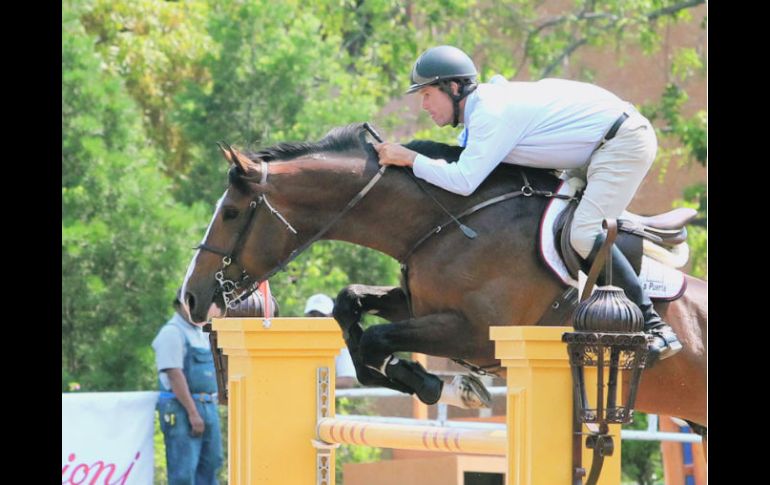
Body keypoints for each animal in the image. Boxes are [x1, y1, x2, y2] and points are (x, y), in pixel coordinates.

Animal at [178, 121, 704, 428]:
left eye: (230, 213)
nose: (190, 299)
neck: (450, 219)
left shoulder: (477, 334)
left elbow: (377, 340)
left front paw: (438, 384)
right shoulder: (419, 303)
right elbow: (352, 306)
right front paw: (444, 385)